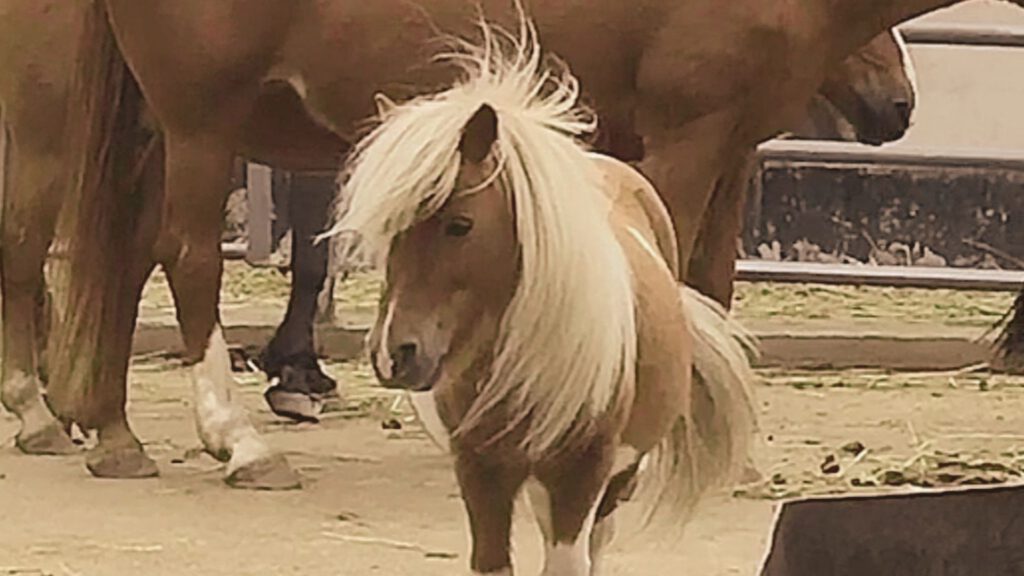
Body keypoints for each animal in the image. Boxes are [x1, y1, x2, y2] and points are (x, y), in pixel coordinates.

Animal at [330, 18, 756, 574]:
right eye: (388, 232)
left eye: (460, 224)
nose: (393, 354)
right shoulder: (482, 471)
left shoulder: (580, 473)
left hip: (617, 474)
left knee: (599, 537)